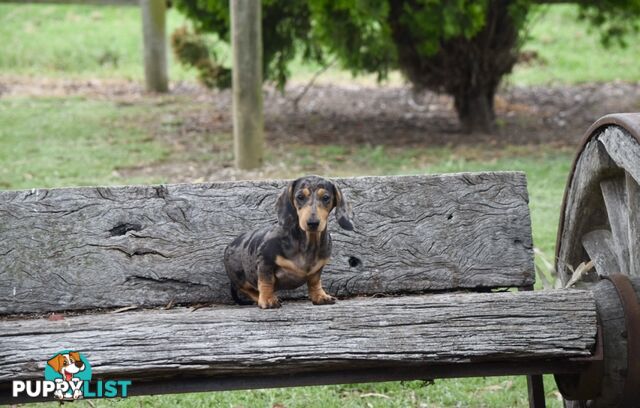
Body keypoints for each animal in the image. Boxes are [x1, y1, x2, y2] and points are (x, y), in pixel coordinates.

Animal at [225, 176, 356, 310]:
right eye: (300, 197)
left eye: (326, 197)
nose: (312, 223)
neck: (308, 242)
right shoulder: (265, 261)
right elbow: (266, 281)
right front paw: (267, 299)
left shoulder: (318, 269)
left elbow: (315, 282)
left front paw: (320, 296)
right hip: (241, 279)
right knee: (249, 290)